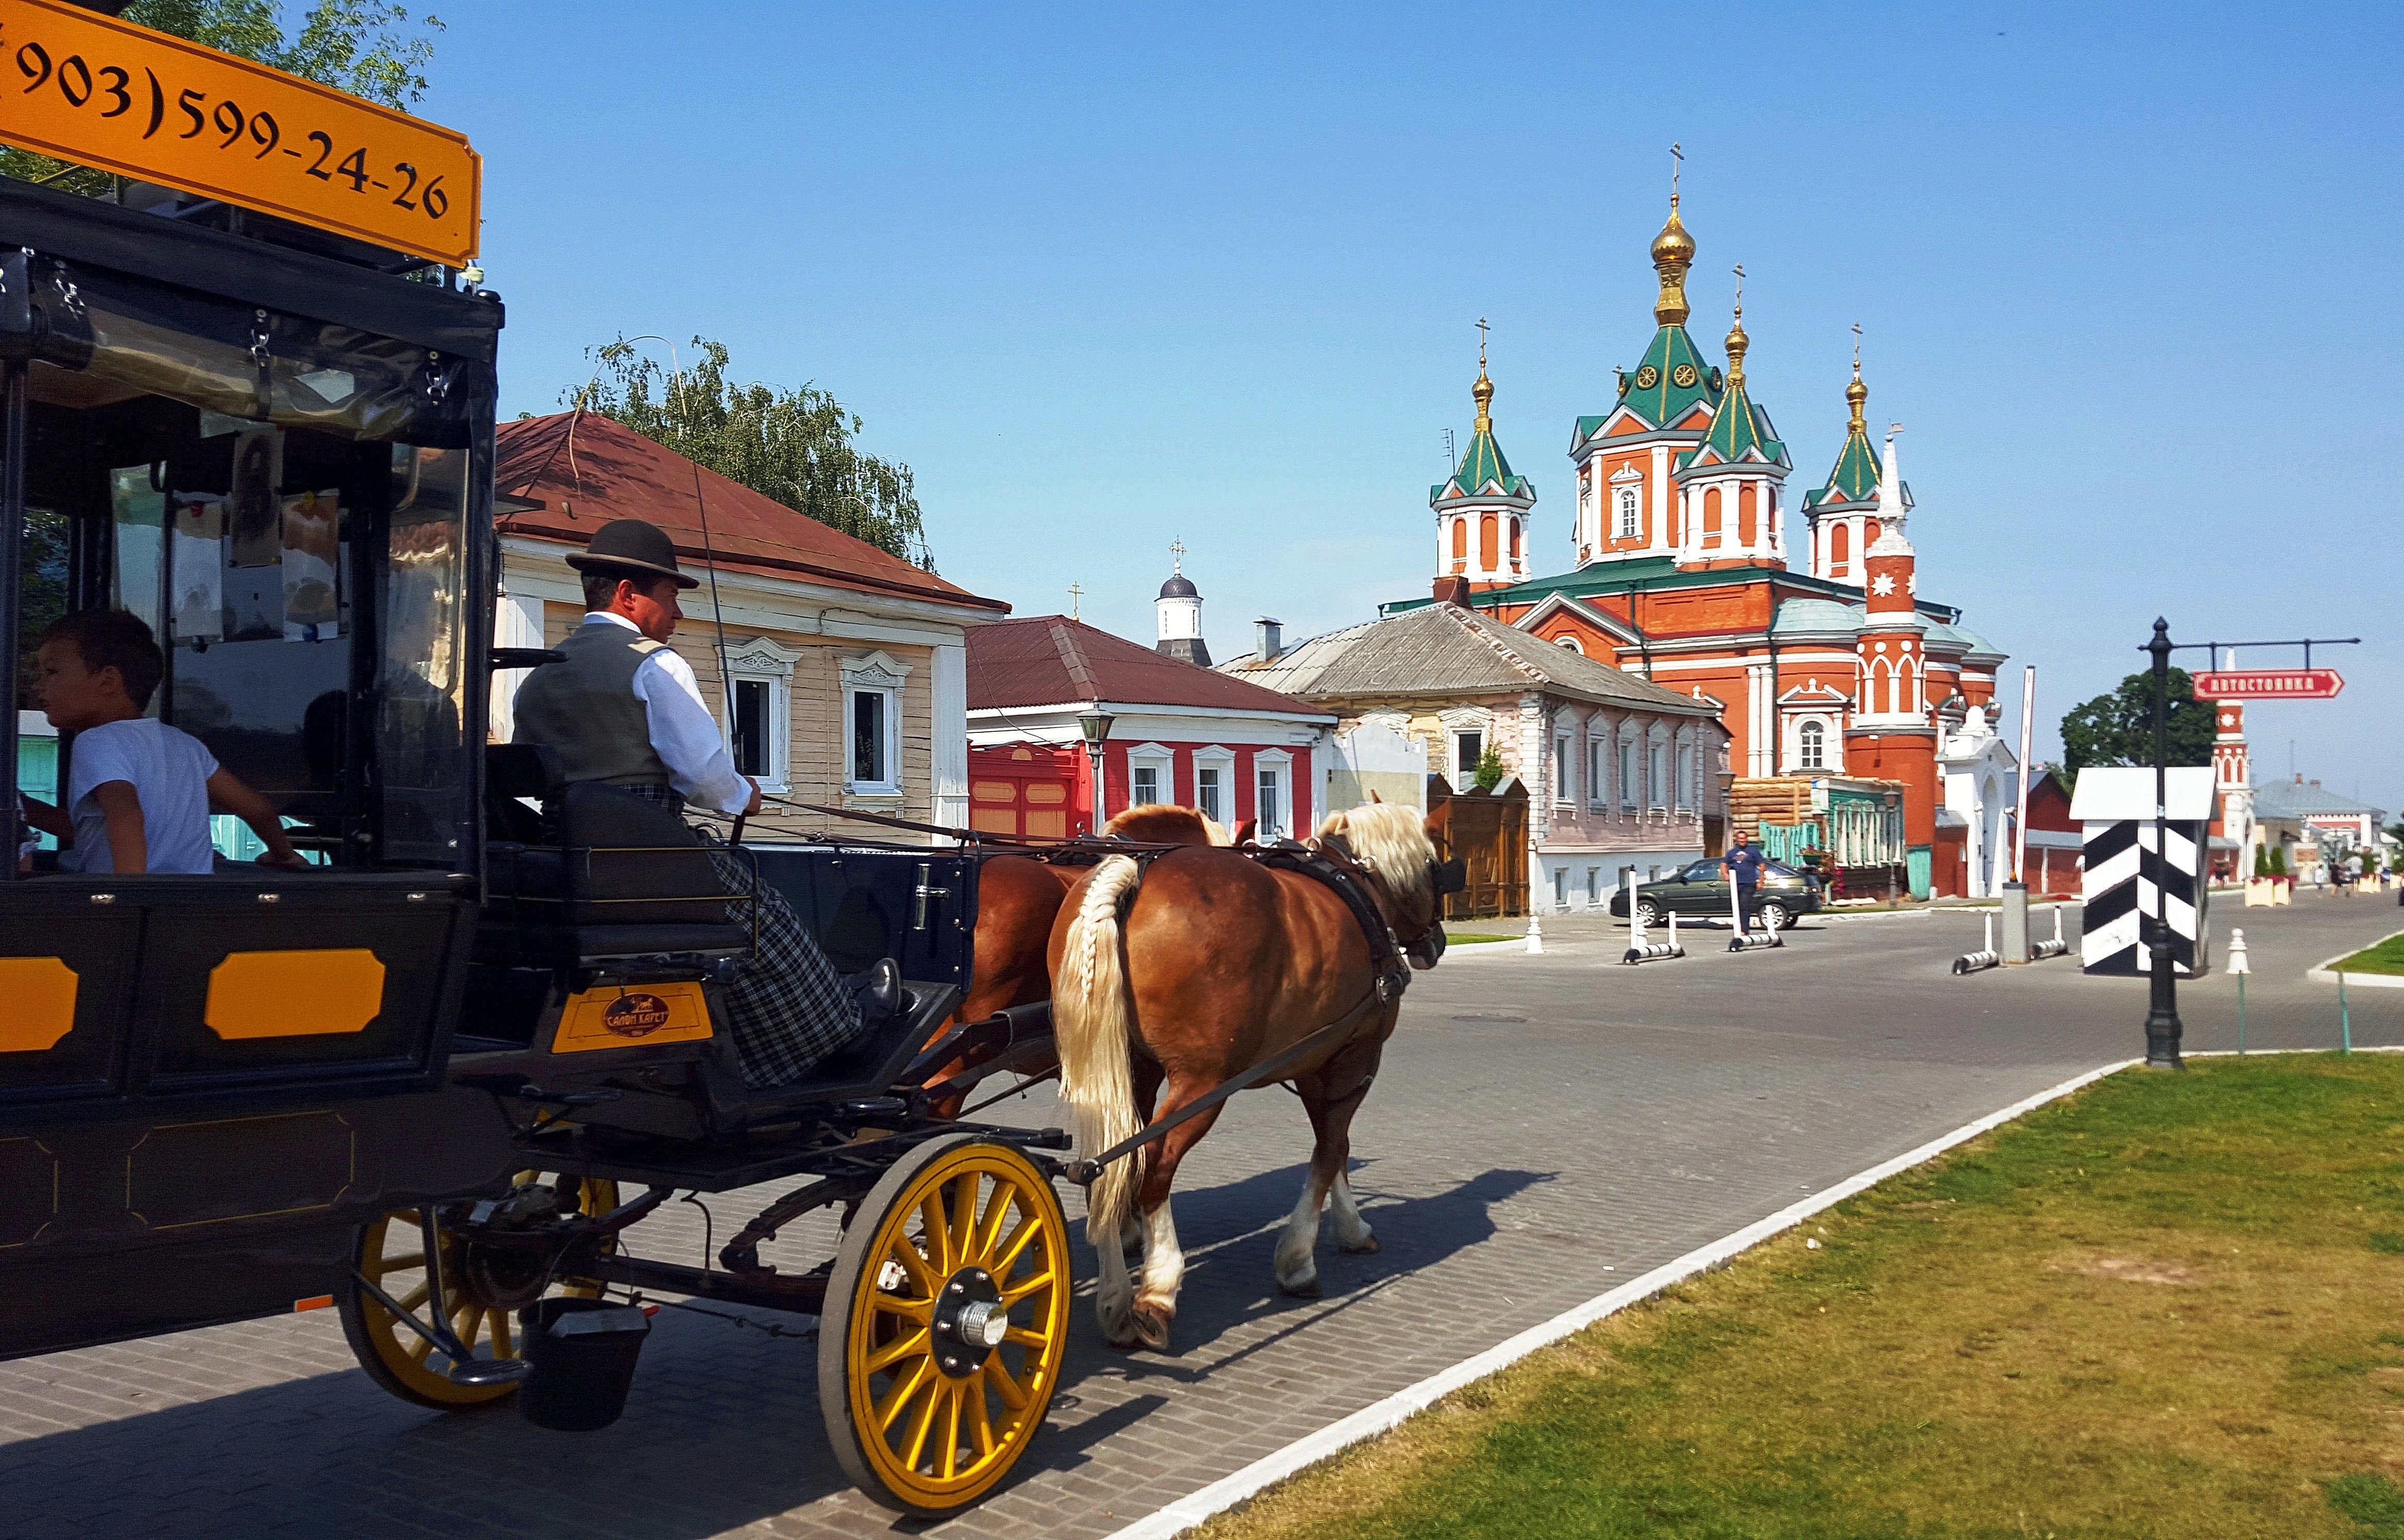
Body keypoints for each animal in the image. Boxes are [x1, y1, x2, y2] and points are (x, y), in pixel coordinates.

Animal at [1043, 797, 1432, 1355]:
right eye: (1434, 866)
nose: (1432, 943)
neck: (1353, 882)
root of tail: (1135, 871)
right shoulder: (1354, 1060)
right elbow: (1331, 1149)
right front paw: (1299, 1259)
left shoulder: (1314, 1063)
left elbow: (1333, 1148)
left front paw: (1349, 1227)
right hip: (1203, 1084)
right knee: (1155, 1164)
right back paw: (1157, 1291)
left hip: (1126, 1074)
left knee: (1109, 1168)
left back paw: (1115, 1299)